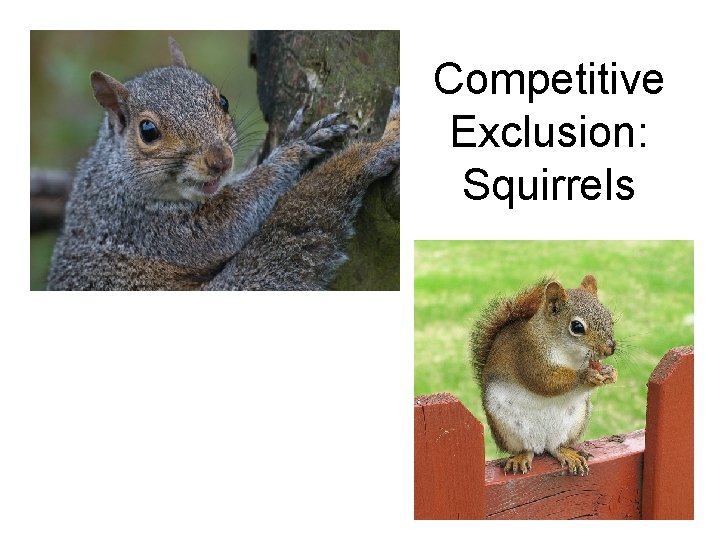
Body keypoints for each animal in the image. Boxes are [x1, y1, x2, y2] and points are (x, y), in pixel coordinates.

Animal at [47, 37, 400, 290]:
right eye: (147, 130)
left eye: (224, 101)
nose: (221, 160)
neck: (115, 175)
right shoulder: (143, 226)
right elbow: (226, 225)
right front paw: (290, 150)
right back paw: (375, 148)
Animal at [469, 275, 618, 476]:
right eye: (577, 326)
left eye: (610, 319)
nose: (610, 349)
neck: (569, 355)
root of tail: (541, 443)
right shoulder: (529, 353)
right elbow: (545, 381)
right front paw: (586, 375)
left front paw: (609, 372)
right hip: (506, 428)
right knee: (525, 448)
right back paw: (521, 457)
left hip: (575, 422)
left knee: (556, 447)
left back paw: (567, 454)